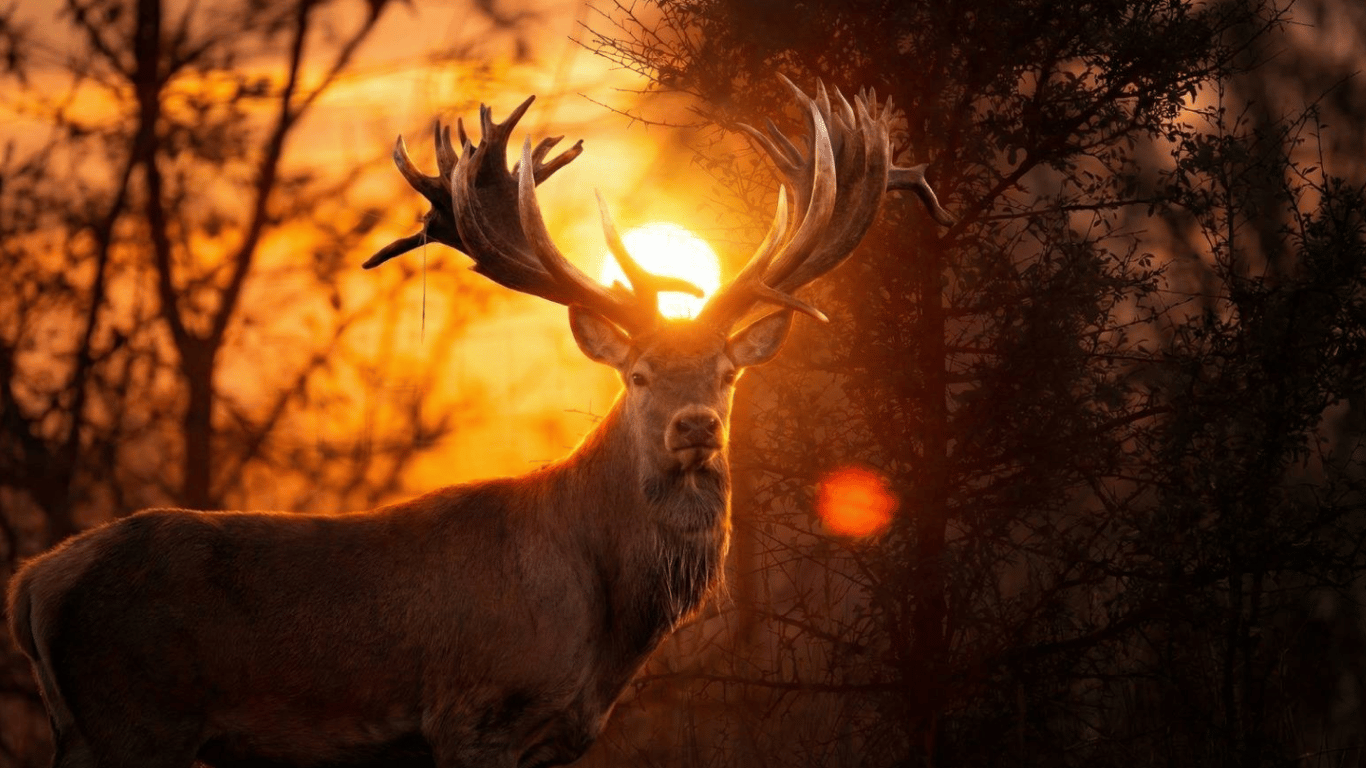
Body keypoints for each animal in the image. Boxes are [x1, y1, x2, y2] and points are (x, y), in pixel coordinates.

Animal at [6, 77, 952, 768]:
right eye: (639, 372)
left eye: (727, 374)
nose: (693, 426)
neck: (603, 626)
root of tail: (32, 585)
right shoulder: (475, 713)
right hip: (133, 719)